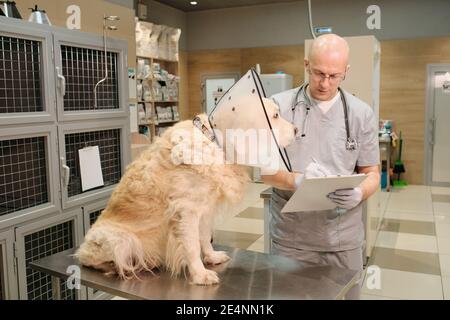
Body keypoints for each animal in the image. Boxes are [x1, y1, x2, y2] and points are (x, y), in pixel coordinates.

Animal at [77, 97, 296, 284]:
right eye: (275, 116)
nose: (296, 129)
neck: (213, 141)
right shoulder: (187, 211)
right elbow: (192, 246)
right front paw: (199, 274)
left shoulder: (206, 209)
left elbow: (204, 238)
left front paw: (211, 256)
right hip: (118, 239)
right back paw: (120, 266)